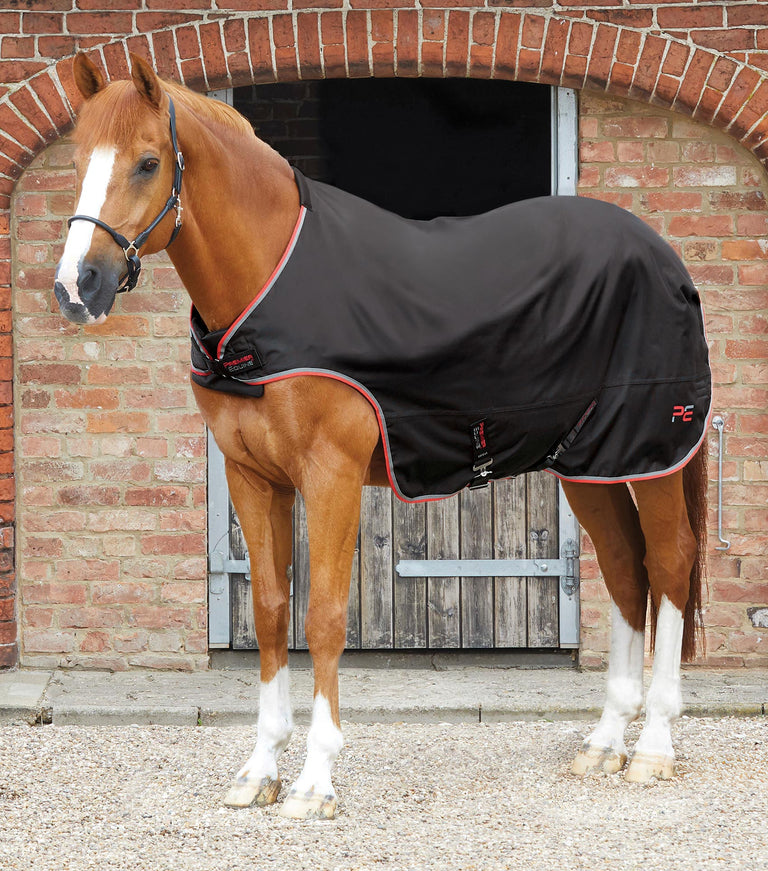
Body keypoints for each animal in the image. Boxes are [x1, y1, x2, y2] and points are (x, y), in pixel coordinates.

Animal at [53, 53, 709, 820]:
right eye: (77, 160)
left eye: (148, 161)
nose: (77, 286)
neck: (271, 284)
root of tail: (661, 254)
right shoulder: (253, 476)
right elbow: (271, 611)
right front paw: (259, 770)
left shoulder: (330, 473)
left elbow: (325, 617)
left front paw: (314, 782)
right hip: (587, 462)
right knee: (627, 568)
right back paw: (605, 743)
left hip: (651, 451)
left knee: (670, 561)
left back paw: (654, 746)